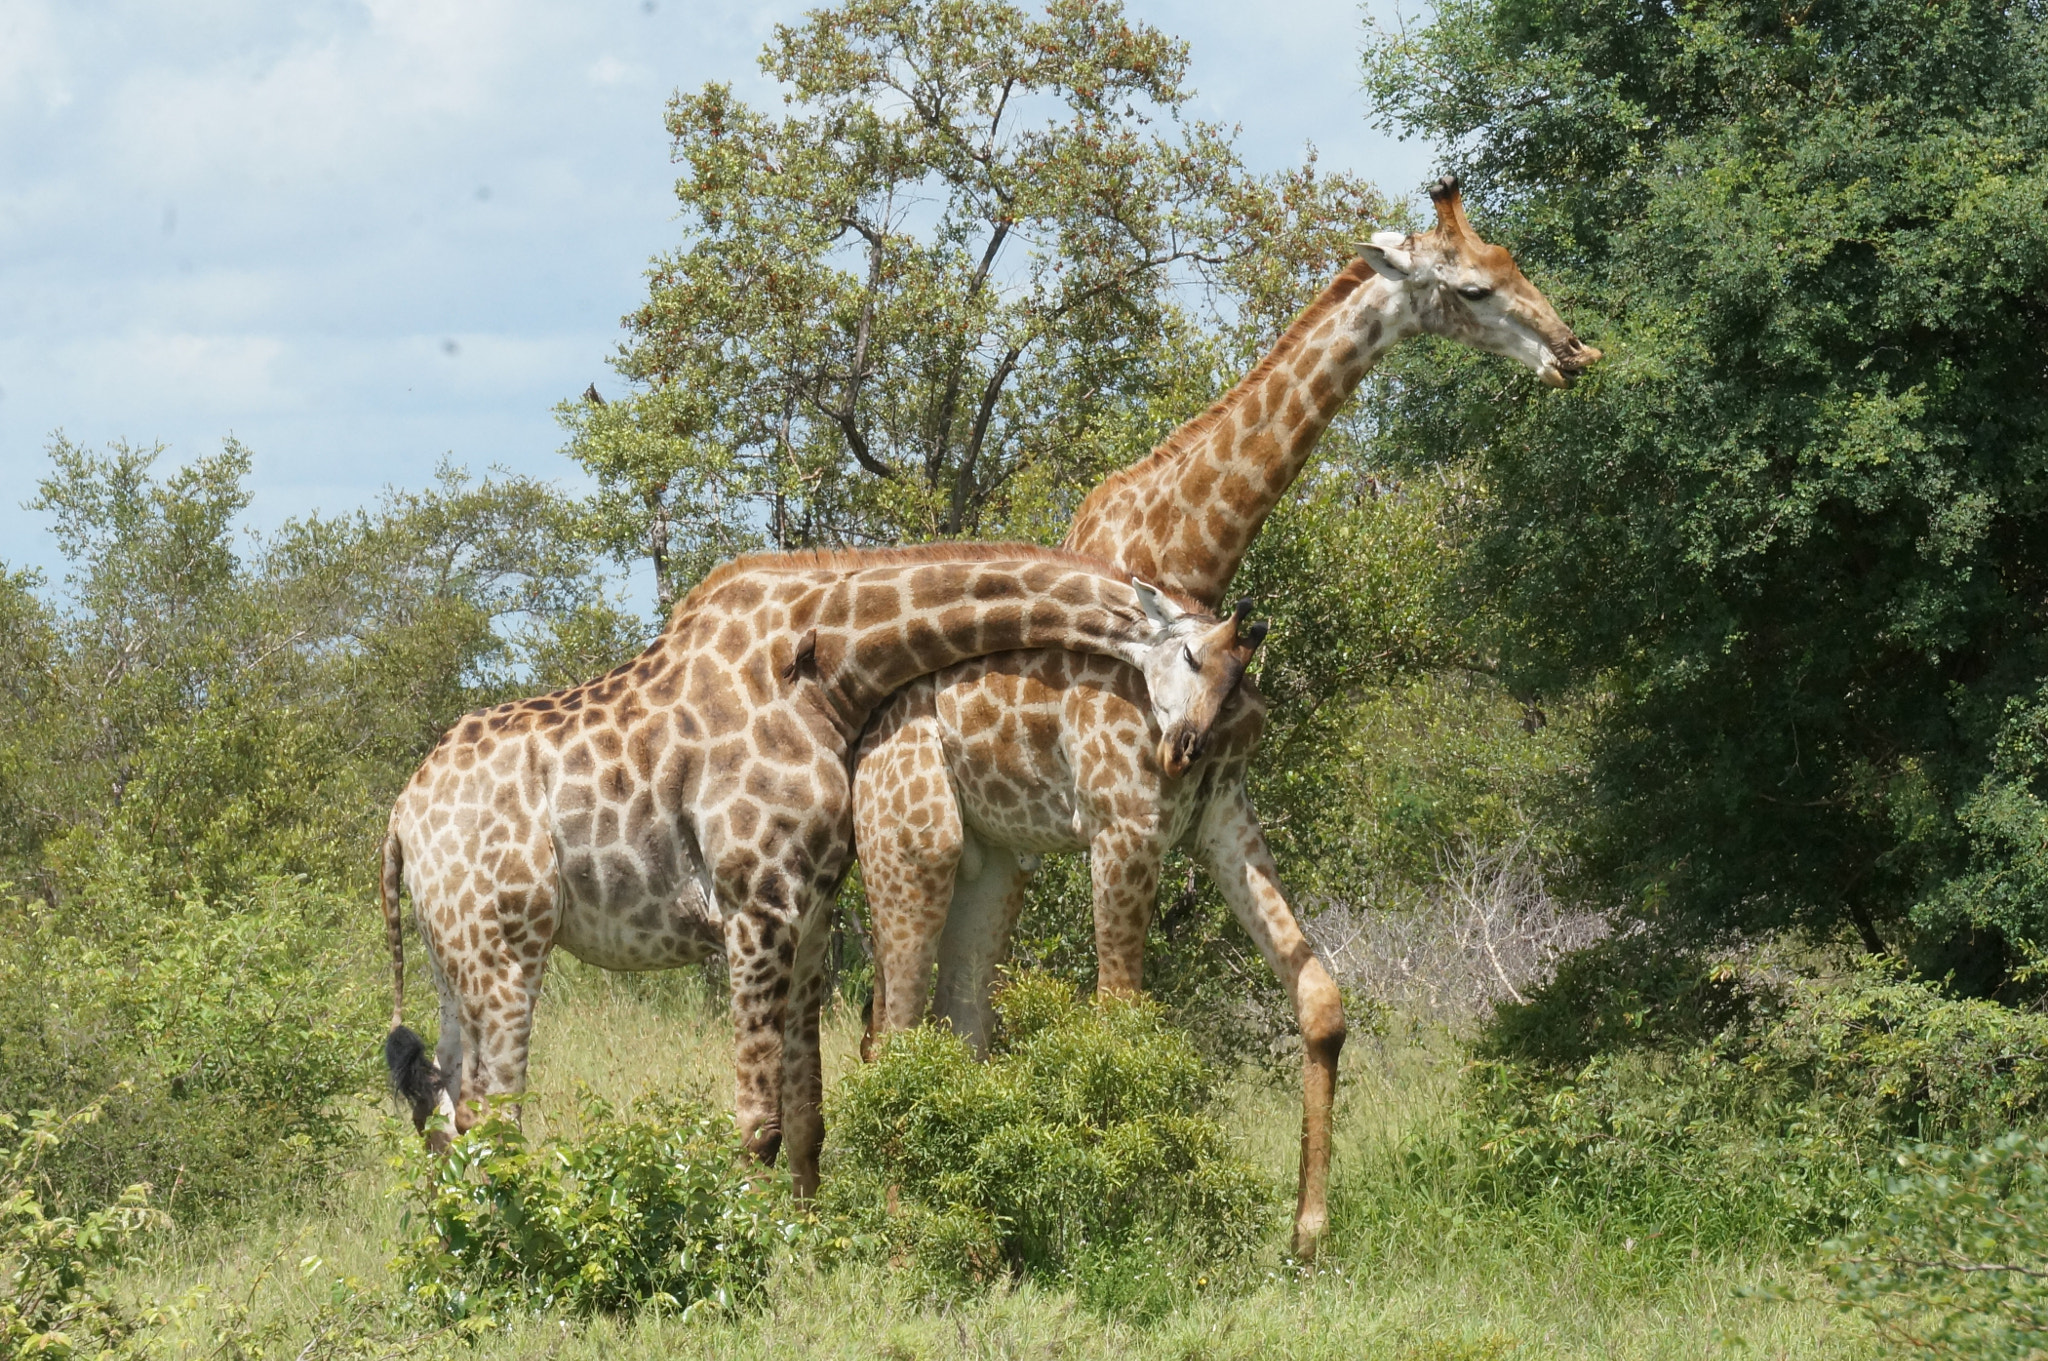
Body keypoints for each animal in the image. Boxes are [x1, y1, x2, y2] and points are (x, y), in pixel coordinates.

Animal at [378, 542, 1264, 1197]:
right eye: (1192, 656)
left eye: (1234, 688)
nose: (1181, 749)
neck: (830, 671)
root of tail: (401, 816)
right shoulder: (755, 907)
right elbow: (755, 1119)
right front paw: (740, 1247)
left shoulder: (809, 915)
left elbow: (806, 1114)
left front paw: (803, 1241)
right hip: (509, 949)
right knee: (490, 1114)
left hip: (454, 953)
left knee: (444, 1102)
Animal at [853, 175, 1602, 1255]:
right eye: (1471, 288)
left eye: (1511, 261)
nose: (1572, 351)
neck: (1190, 558)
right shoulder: (1124, 826)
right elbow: (1119, 1019)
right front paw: (1112, 1218)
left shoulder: (1217, 814)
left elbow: (1320, 997)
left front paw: (1307, 1231)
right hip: (916, 843)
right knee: (891, 1022)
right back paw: (890, 1217)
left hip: (998, 858)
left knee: (953, 1020)